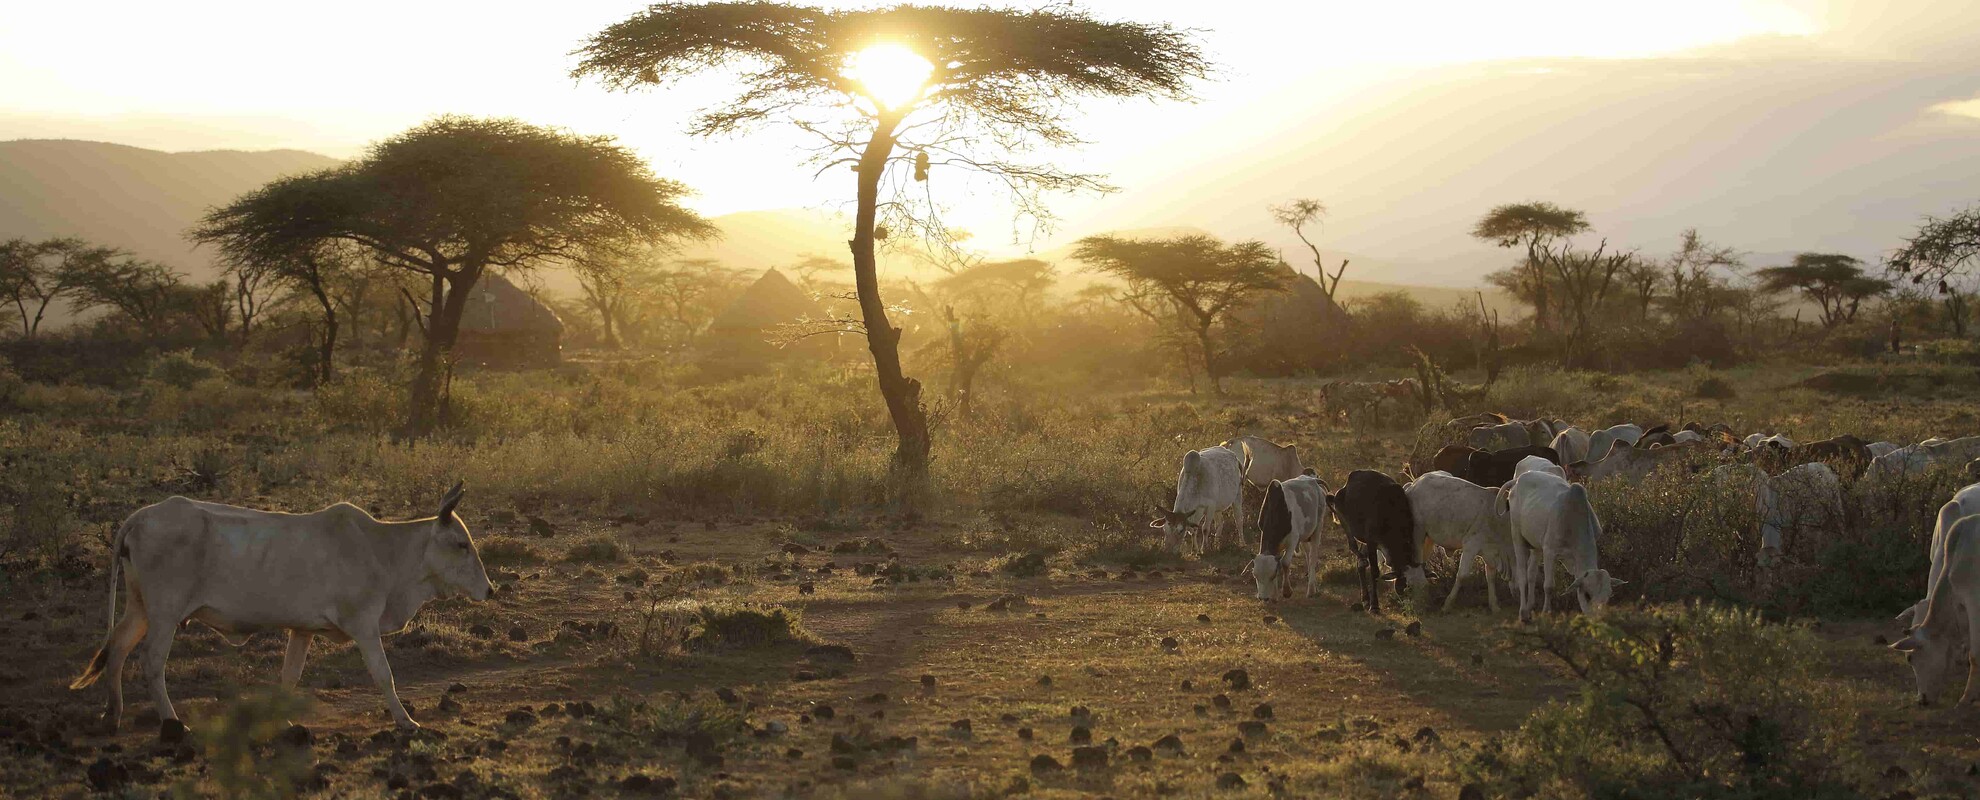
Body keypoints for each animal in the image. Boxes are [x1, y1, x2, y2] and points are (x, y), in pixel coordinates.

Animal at [70, 484, 493, 736]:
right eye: (461, 544)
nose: (489, 589)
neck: (383, 551)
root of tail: (142, 516)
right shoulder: (364, 626)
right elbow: (384, 675)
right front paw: (407, 721)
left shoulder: (301, 631)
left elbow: (290, 677)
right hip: (165, 614)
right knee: (151, 662)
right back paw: (173, 724)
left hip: (140, 608)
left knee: (117, 650)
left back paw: (113, 714)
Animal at [1249, 472, 1330, 601]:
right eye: (1254, 575)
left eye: (1272, 576)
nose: (1263, 598)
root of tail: (1313, 480)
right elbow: (1278, 562)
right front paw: (1274, 596)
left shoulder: (1293, 539)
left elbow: (1285, 562)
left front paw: (1287, 591)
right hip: (1305, 535)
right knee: (1308, 554)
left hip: (1318, 527)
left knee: (1313, 557)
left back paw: (1311, 590)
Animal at [1330, 470, 1423, 615]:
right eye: (1407, 587)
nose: (1416, 607)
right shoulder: (1371, 542)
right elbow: (1374, 572)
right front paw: (1375, 606)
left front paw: (1370, 601)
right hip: (1342, 515)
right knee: (1353, 547)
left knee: (1359, 564)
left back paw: (1365, 598)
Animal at [1406, 471, 1512, 612]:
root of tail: (1413, 484)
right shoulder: (1471, 545)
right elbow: (1462, 575)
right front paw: (1447, 604)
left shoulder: (1491, 551)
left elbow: (1490, 577)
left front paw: (1494, 605)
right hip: (1418, 534)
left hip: (1428, 538)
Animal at [1501, 469, 1622, 622]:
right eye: (1587, 595)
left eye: (1608, 596)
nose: (1597, 619)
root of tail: (1517, 481)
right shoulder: (1549, 551)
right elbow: (1549, 586)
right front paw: (1546, 612)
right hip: (1517, 536)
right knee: (1522, 574)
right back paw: (1523, 612)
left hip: (1536, 545)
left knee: (1531, 573)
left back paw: (1529, 607)